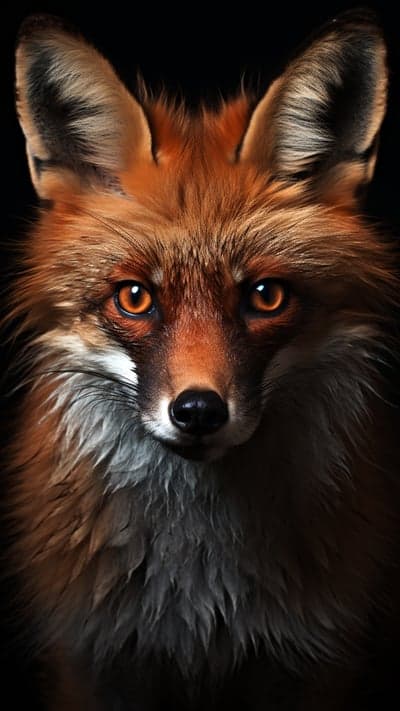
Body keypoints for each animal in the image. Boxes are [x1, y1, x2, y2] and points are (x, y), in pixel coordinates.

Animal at [4, 8, 400, 710]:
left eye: (265, 296)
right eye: (135, 297)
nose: (197, 412)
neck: (197, 601)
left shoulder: (319, 660)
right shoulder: (88, 656)